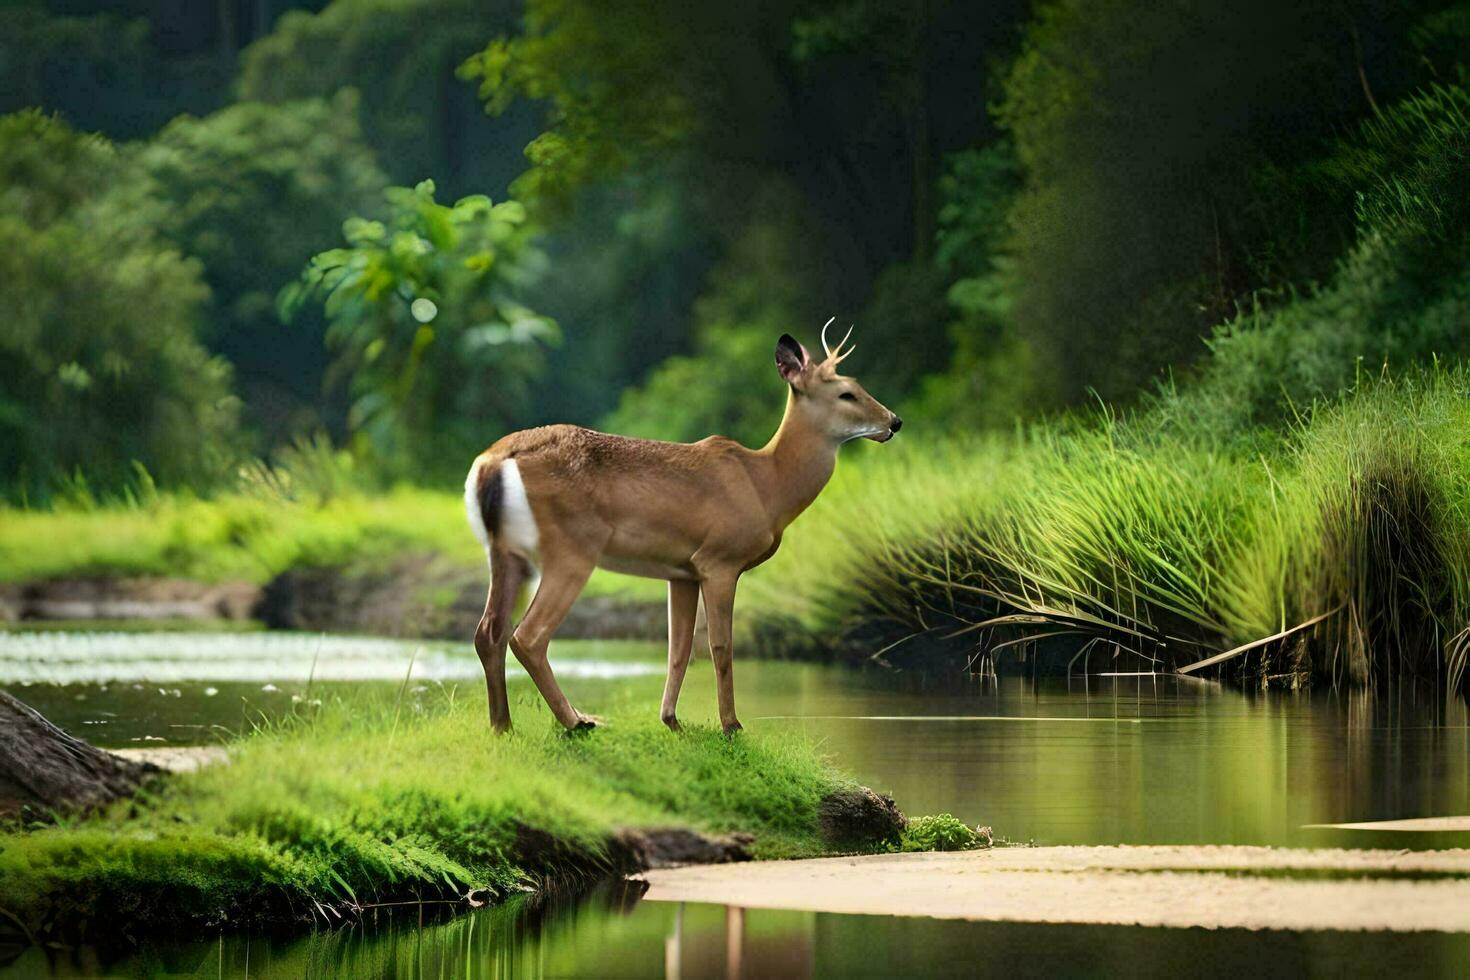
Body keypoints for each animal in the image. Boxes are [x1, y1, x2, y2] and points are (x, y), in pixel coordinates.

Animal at [461, 321, 893, 734]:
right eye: (847, 394)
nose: (894, 421)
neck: (767, 486)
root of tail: (493, 462)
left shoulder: (681, 570)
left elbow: (679, 648)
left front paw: (671, 719)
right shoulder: (719, 559)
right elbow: (720, 645)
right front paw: (732, 725)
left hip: (505, 550)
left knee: (489, 631)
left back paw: (503, 726)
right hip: (572, 548)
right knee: (528, 636)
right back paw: (576, 721)